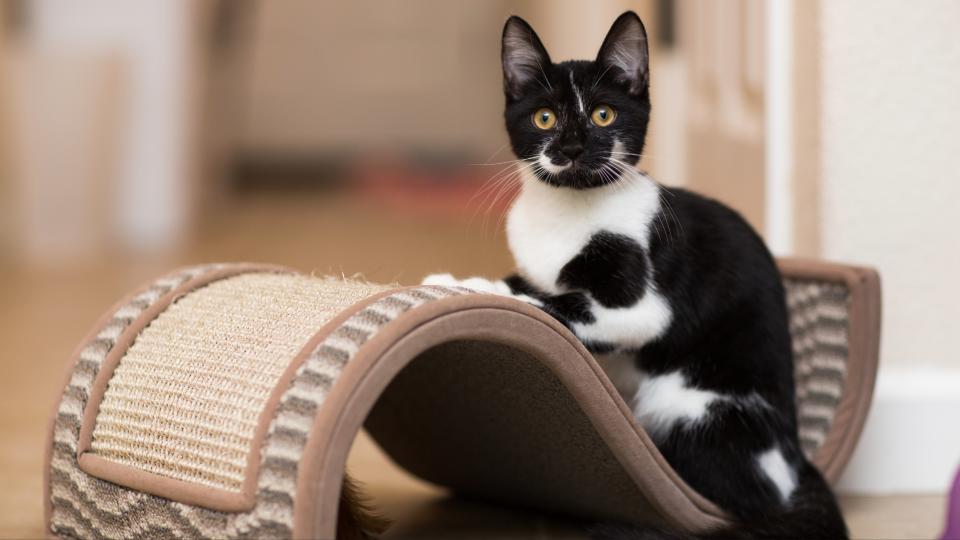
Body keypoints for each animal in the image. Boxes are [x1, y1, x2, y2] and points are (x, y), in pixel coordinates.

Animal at [424, 10, 852, 536]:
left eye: (603, 115)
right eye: (545, 117)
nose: (572, 147)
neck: (568, 211)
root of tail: (795, 467)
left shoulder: (646, 304)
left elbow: (556, 302)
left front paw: (473, 288)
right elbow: (530, 282)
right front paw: (460, 281)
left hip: (690, 408)